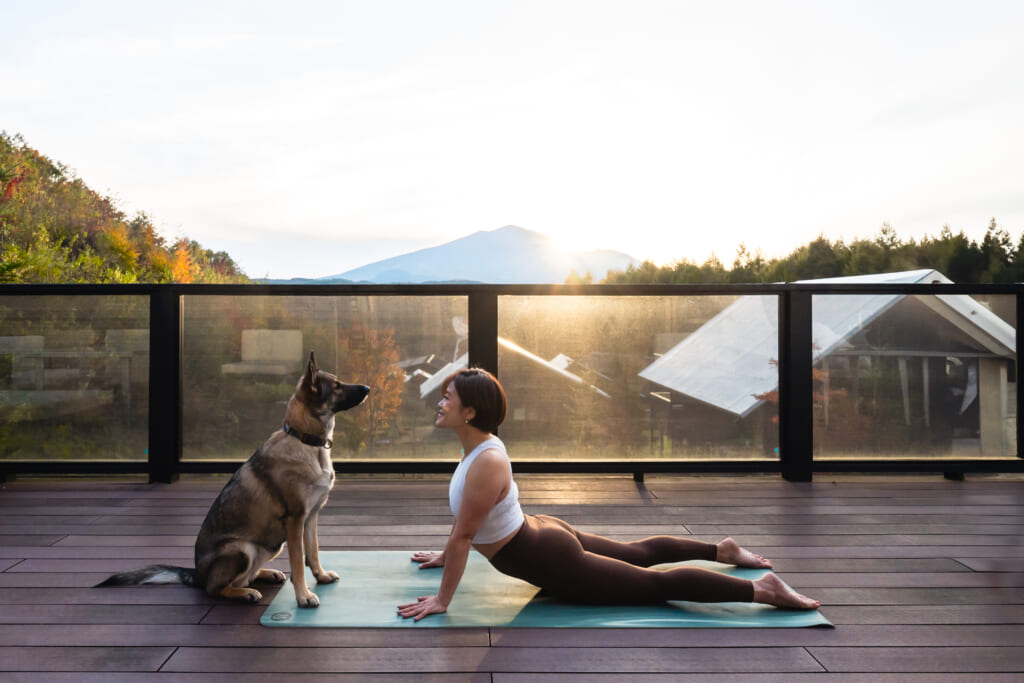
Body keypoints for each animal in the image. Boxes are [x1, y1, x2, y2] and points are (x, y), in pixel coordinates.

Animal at [95, 352, 368, 610]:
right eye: (336, 386)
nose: (367, 388)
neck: (305, 440)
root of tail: (197, 575)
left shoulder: (310, 518)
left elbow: (313, 551)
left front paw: (320, 576)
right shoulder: (295, 521)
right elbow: (299, 563)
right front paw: (303, 596)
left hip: (270, 546)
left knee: (244, 576)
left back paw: (267, 574)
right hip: (242, 549)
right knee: (216, 588)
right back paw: (245, 593)